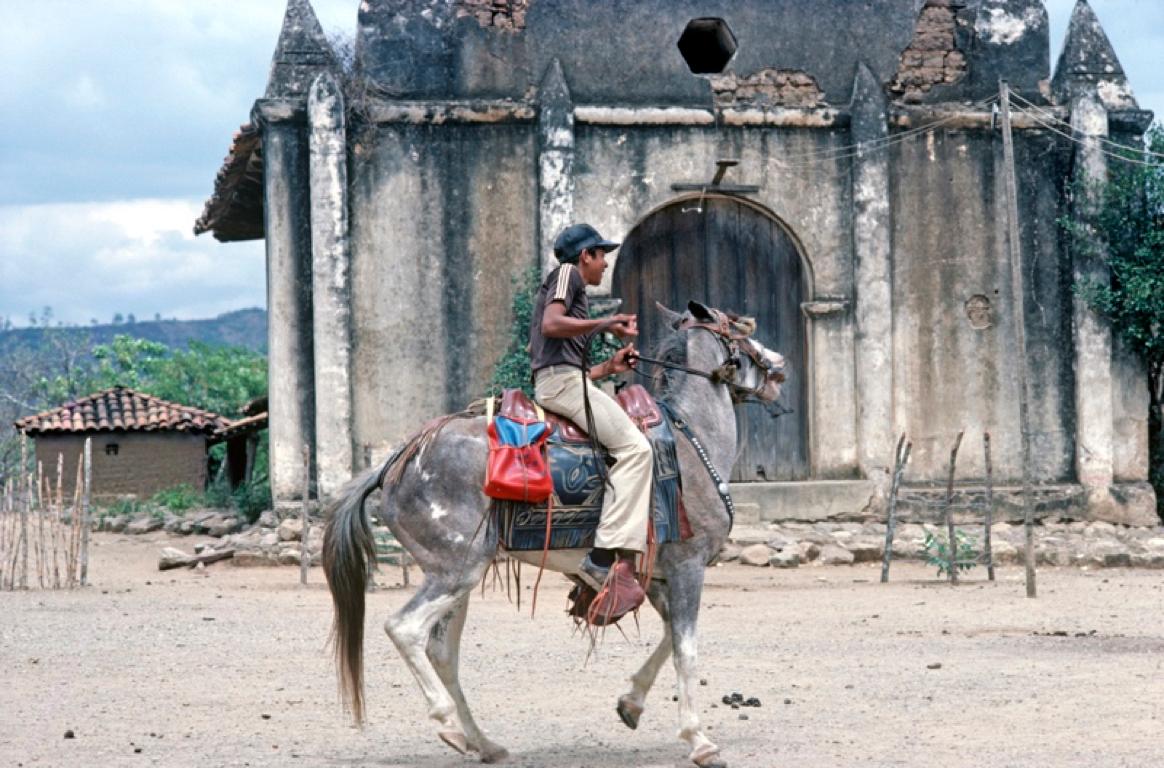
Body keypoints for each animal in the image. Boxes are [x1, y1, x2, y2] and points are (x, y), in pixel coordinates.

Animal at [323, 300, 786, 768]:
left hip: (457, 580)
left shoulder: (654, 577)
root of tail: (395, 462)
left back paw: (482, 742)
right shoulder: (688, 565)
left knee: (442, 652)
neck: (691, 439)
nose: (779, 366)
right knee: (405, 629)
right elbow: (686, 649)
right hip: (456, 573)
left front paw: (631, 703)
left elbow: (670, 639)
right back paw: (448, 723)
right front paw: (699, 740)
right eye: (741, 328)